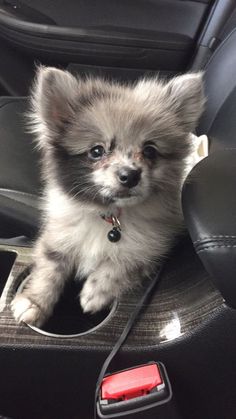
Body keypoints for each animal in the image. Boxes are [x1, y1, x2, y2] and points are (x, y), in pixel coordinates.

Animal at [11, 67, 204, 328]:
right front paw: (34, 302)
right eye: (97, 151)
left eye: (150, 150)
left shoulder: (152, 248)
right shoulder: (58, 236)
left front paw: (94, 293)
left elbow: (120, 265)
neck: (109, 216)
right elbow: (49, 269)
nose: (130, 175)